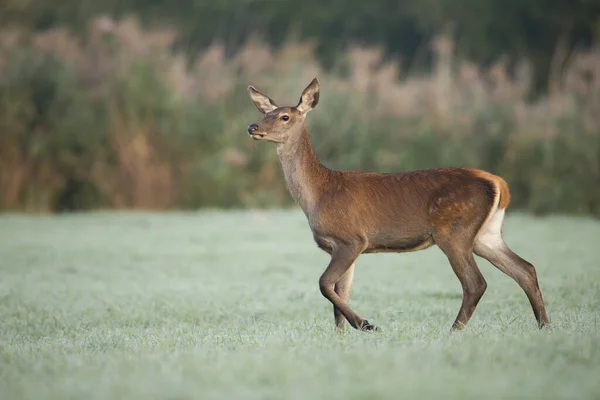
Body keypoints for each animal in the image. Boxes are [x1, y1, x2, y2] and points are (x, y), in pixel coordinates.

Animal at [244, 78, 548, 332]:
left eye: (284, 116)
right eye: (265, 114)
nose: (252, 127)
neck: (318, 194)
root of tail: (499, 183)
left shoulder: (352, 239)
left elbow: (323, 284)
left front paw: (366, 324)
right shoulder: (341, 247)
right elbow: (340, 294)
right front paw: (342, 334)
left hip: (454, 230)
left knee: (476, 283)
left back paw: (453, 331)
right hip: (486, 234)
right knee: (525, 269)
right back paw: (544, 325)